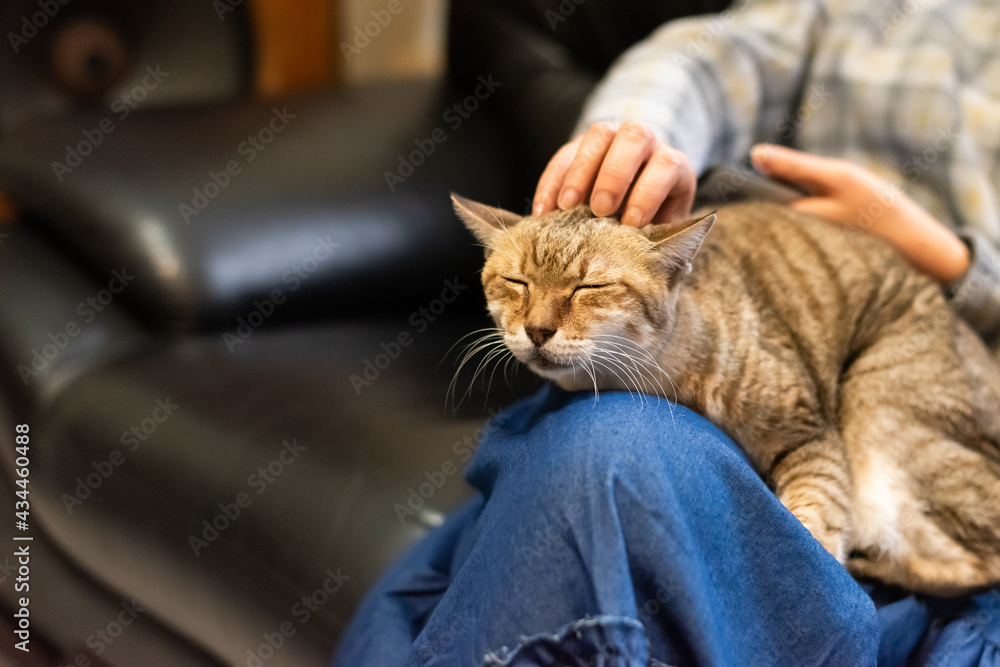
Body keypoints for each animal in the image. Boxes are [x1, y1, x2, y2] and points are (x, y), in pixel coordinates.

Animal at [456, 193, 1000, 596]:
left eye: (589, 287)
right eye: (516, 282)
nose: (537, 330)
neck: (659, 376)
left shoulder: (811, 432)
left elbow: (815, 517)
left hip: (876, 414)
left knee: (980, 557)